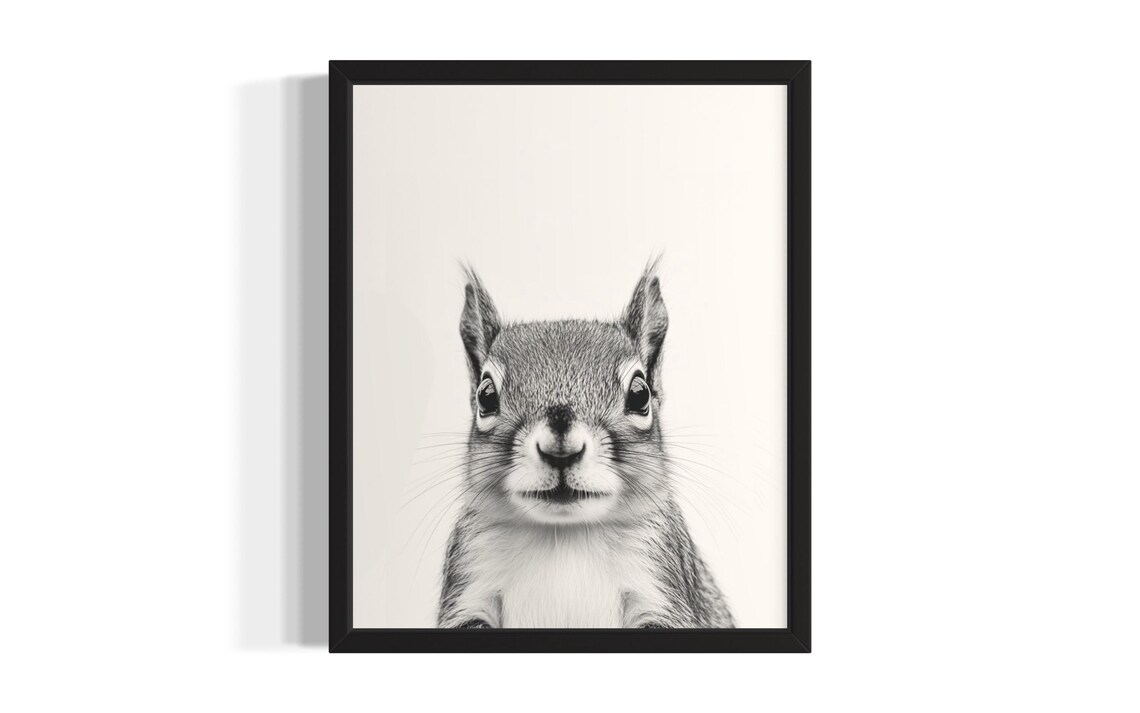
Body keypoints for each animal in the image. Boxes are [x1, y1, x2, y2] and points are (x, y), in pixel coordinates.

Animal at [437, 264, 734, 629]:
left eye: (640, 394)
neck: (564, 535)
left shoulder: (662, 581)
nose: (561, 451)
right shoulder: (469, 581)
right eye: (486, 396)